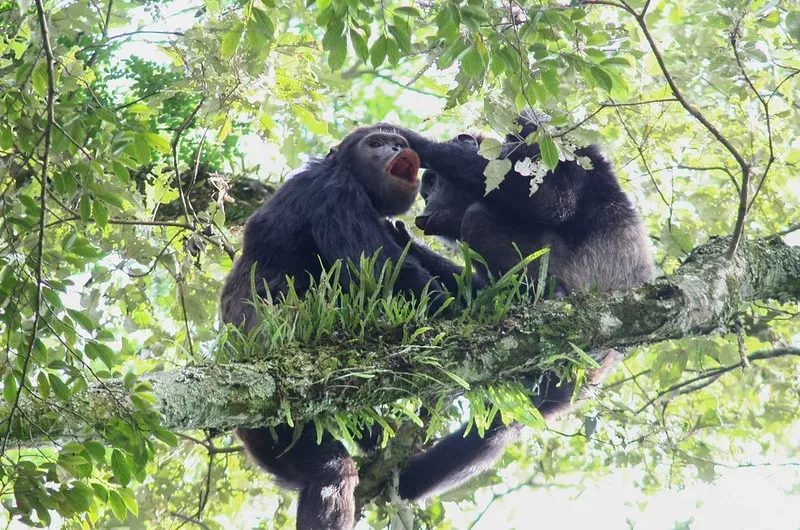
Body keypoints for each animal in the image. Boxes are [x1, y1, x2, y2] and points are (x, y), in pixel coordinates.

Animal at [219, 122, 468, 528]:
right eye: (376, 143)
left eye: (396, 141)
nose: (396, 147)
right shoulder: (335, 194)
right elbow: (387, 274)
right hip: (276, 416)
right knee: (330, 470)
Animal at [382, 114, 656, 500]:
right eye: (426, 189)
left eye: (433, 182)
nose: (425, 203)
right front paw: (405, 242)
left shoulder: (550, 142)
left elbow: (550, 201)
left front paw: (414, 140)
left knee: (478, 217)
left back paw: (547, 298)